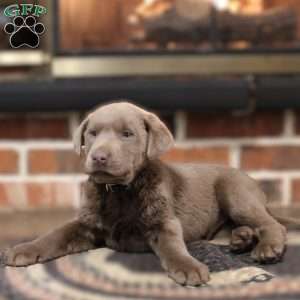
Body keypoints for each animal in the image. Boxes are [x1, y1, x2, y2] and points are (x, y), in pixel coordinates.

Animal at [2, 101, 290, 286]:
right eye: (92, 134)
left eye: (127, 134)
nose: (99, 156)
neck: (120, 191)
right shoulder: (86, 223)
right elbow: (55, 234)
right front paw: (25, 248)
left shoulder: (163, 222)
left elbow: (173, 247)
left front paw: (188, 267)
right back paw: (241, 239)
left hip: (236, 194)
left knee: (272, 224)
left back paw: (268, 248)